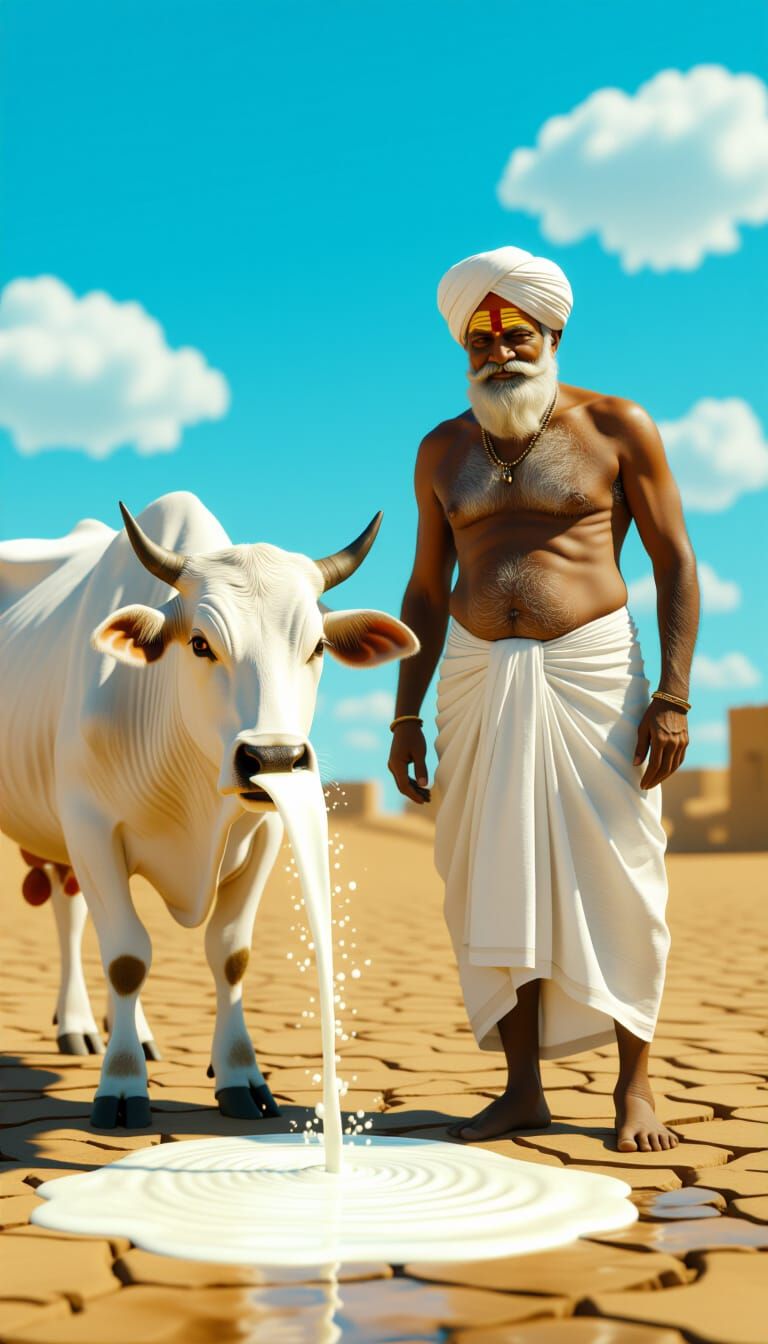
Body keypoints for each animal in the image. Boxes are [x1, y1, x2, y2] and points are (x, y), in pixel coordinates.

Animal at [0, 492, 418, 1127]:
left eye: (317, 646)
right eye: (200, 643)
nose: (274, 757)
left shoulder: (265, 834)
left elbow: (230, 955)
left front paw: (241, 1075)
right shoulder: (90, 827)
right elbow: (127, 956)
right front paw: (121, 1084)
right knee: (76, 919)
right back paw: (80, 1028)